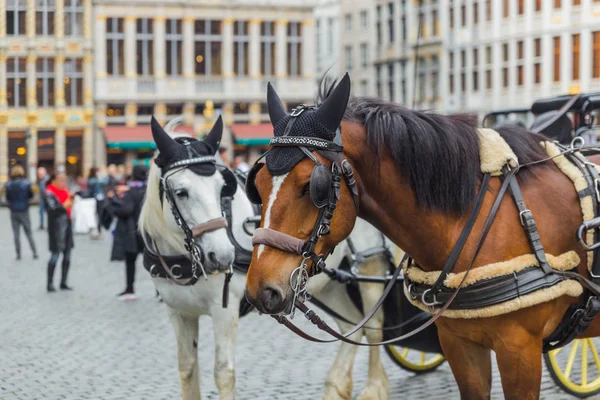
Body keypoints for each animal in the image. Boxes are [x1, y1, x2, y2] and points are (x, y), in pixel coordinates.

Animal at [141, 117, 392, 398]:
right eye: (181, 192)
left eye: (221, 188)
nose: (222, 255)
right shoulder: (178, 313)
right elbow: (187, 370)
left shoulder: (223, 311)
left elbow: (222, 373)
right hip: (327, 284)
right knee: (351, 326)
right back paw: (335, 385)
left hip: (368, 267)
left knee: (373, 327)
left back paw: (374, 387)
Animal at [245, 74, 600, 396]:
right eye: (257, 185)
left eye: (311, 186)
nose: (261, 291)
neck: (483, 217)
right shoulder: (460, 345)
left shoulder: (519, 350)